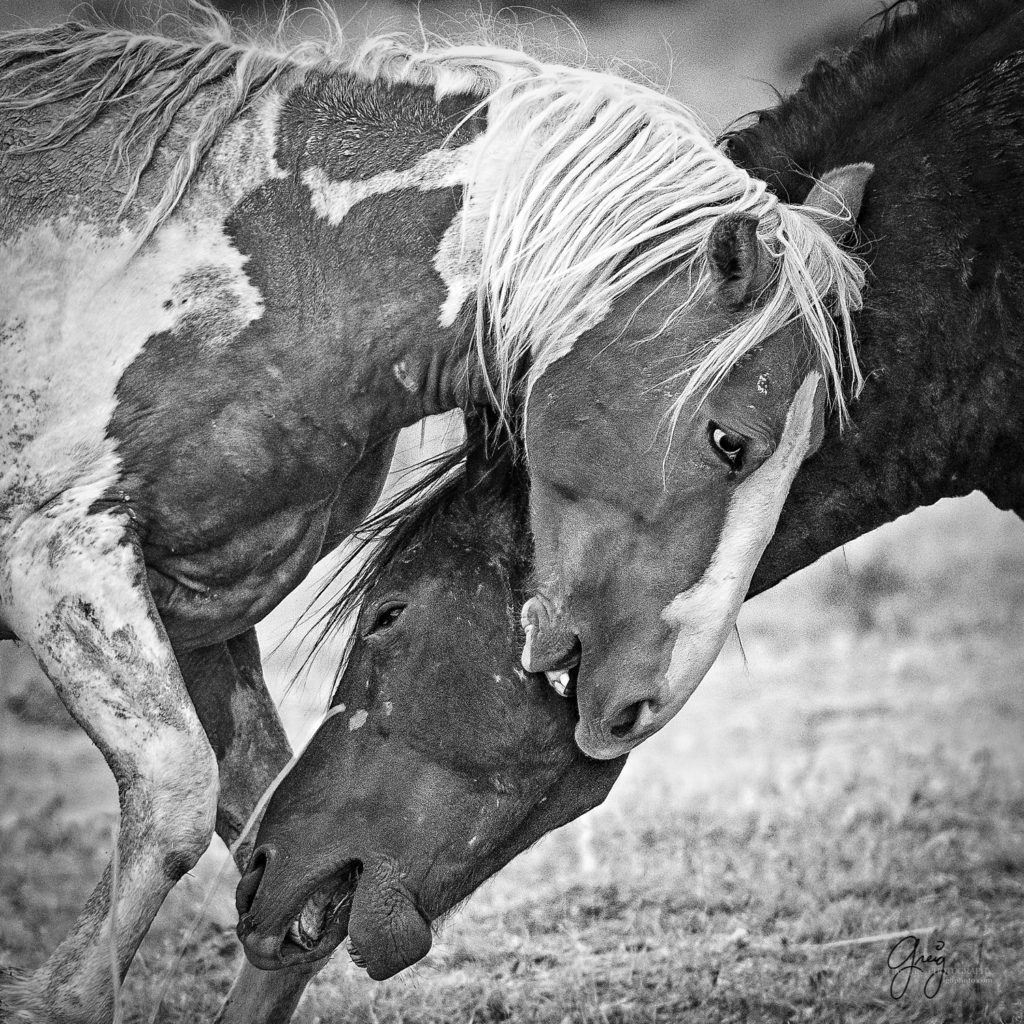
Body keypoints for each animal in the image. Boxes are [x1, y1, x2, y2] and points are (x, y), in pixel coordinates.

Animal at [0, 6, 868, 1015]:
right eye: (730, 441)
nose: (640, 704)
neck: (289, 264)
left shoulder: (198, 602)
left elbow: (262, 828)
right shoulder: (63, 558)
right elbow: (179, 798)